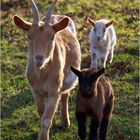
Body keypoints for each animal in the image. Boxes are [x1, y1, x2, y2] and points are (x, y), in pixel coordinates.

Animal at [13, 0, 81, 139]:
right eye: (29, 36)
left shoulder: (54, 92)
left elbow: (46, 120)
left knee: (65, 95)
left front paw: (44, 136)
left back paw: (65, 123)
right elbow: (41, 112)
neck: (43, 75)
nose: (39, 58)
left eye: (52, 37)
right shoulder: (35, 90)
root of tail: (58, 16)